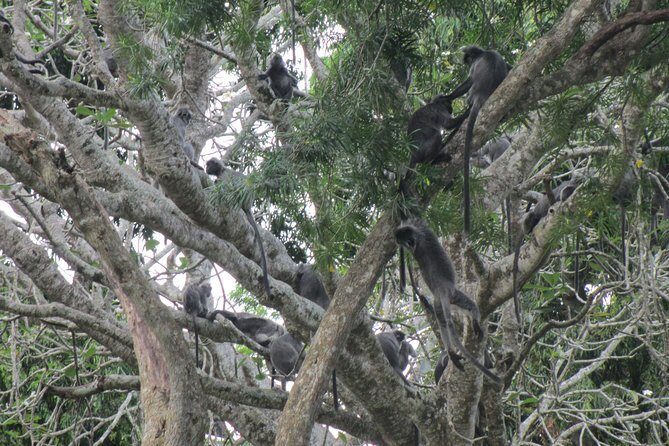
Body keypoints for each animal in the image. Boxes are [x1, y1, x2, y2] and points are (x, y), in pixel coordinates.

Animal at [205, 158, 271, 299]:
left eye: (209, 165)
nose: (205, 167)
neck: (222, 170)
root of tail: (248, 204)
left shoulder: (224, 176)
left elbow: (223, 187)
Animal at [394, 218, 500, 383]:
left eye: (403, 241)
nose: (407, 244)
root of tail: (441, 290)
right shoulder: (420, 228)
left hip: (440, 302)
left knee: (442, 322)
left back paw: (451, 352)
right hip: (455, 294)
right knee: (471, 306)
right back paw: (474, 322)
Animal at [445, 46, 510, 235]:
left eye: (468, 58)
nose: (465, 61)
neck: (483, 52)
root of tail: (481, 96)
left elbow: (467, 81)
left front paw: (448, 96)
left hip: (471, 94)